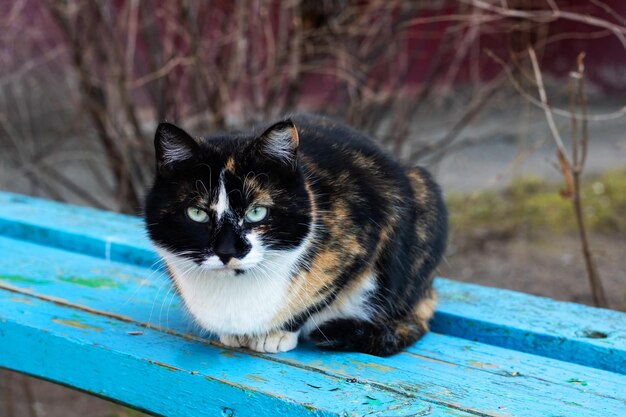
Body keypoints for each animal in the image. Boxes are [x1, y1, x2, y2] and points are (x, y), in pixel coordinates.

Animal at [144, 115, 446, 356]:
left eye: (257, 212)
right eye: (197, 213)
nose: (227, 251)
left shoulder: (361, 242)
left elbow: (315, 300)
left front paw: (276, 334)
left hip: (424, 193)